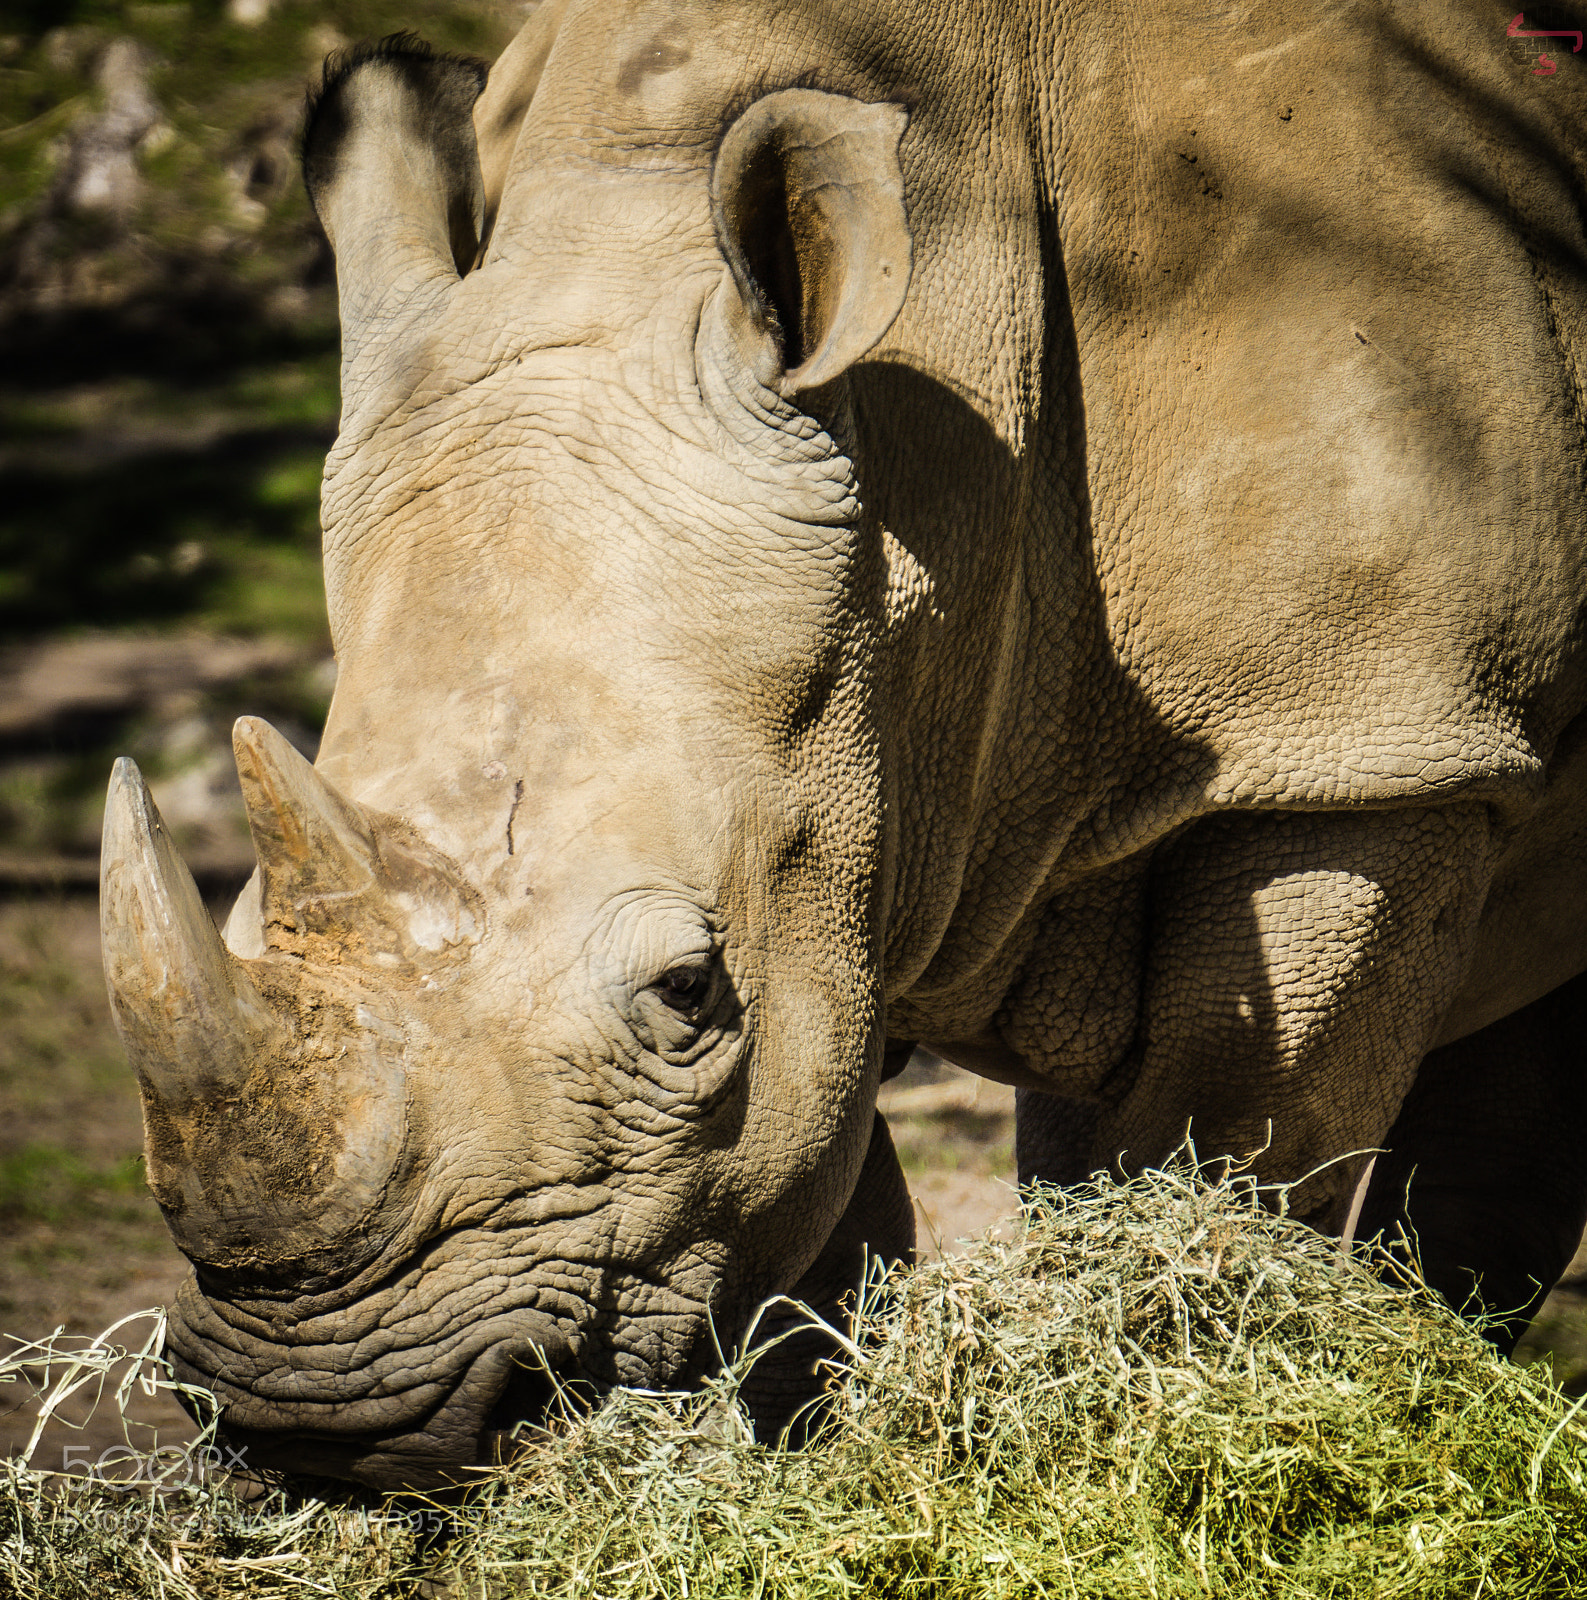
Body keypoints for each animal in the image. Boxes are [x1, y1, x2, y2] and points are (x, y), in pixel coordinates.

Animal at [100, 0, 1587, 1488]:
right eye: (238, 921)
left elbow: (1228, 1148)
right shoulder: (831, 824)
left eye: (686, 991)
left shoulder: (1363, 745)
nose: (325, 1427)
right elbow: (808, 1237)